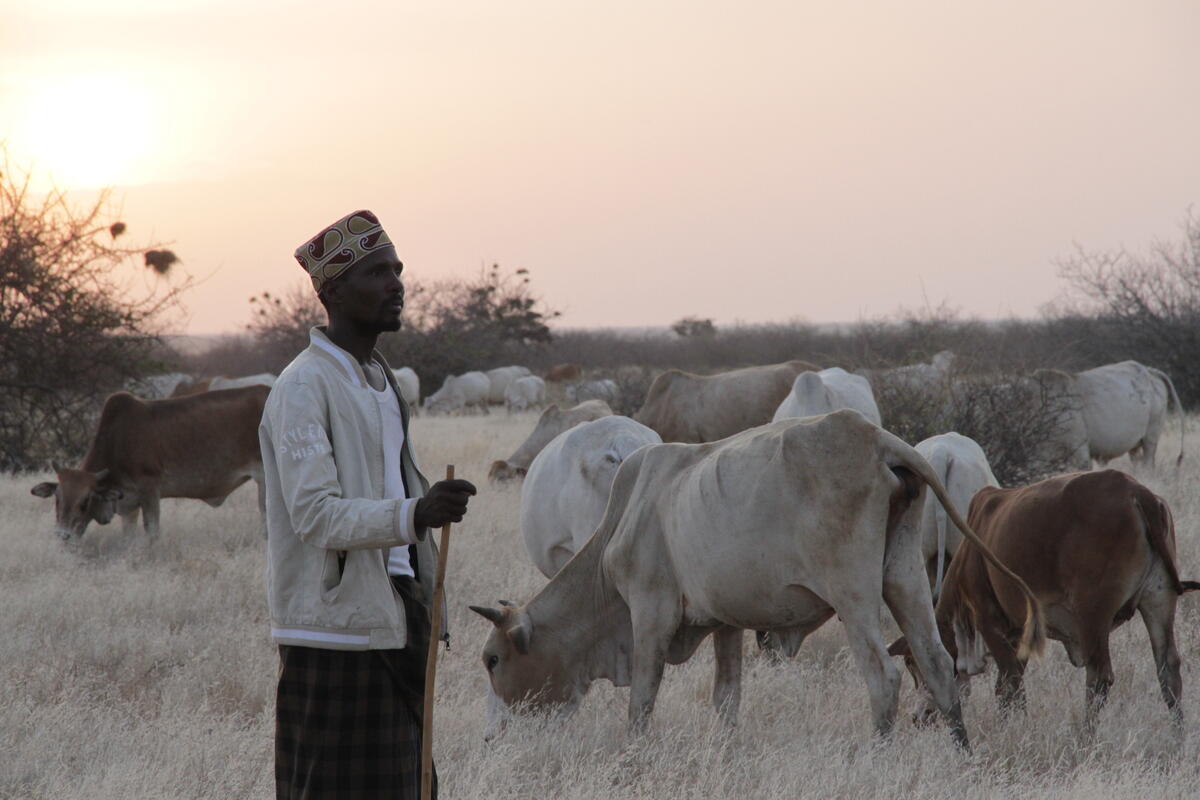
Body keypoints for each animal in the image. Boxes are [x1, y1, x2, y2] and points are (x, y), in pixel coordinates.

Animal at [30, 386, 269, 540]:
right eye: (57, 499)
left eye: (85, 501)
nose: (63, 536)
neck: (118, 441)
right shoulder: (128, 505)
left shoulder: (151, 490)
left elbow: (152, 532)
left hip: (265, 480)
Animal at [889, 469, 1199, 733]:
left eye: (912, 663)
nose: (919, 718)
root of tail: (1138, 493)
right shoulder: (1019, 634)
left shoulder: (987, 619)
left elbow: (1009, 684)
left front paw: (1014, 730)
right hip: (1159, 599)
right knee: (1168, 670)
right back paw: (1177, 736)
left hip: (1092, 612)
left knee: (1099, 677)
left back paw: (1085, 737)